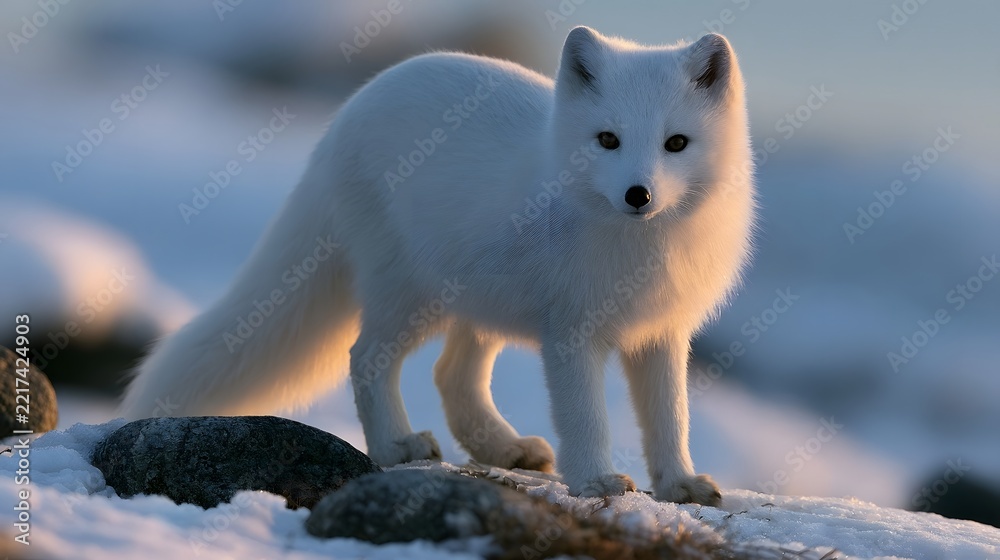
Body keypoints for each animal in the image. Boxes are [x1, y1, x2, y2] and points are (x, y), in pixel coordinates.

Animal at [121, 27, 755, 506]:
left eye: (676, 143)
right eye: (607, 139)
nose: (638, 195)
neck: (641, 247)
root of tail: (345, 117)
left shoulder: (663, 331)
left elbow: (671, 416)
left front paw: (678, 485)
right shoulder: (571, 333)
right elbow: (586, 418)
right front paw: (596, 482)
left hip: (476, 301)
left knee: (453, 376)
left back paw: (502, 449)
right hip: (408, 292)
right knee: (367, 358)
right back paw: (395, 447)